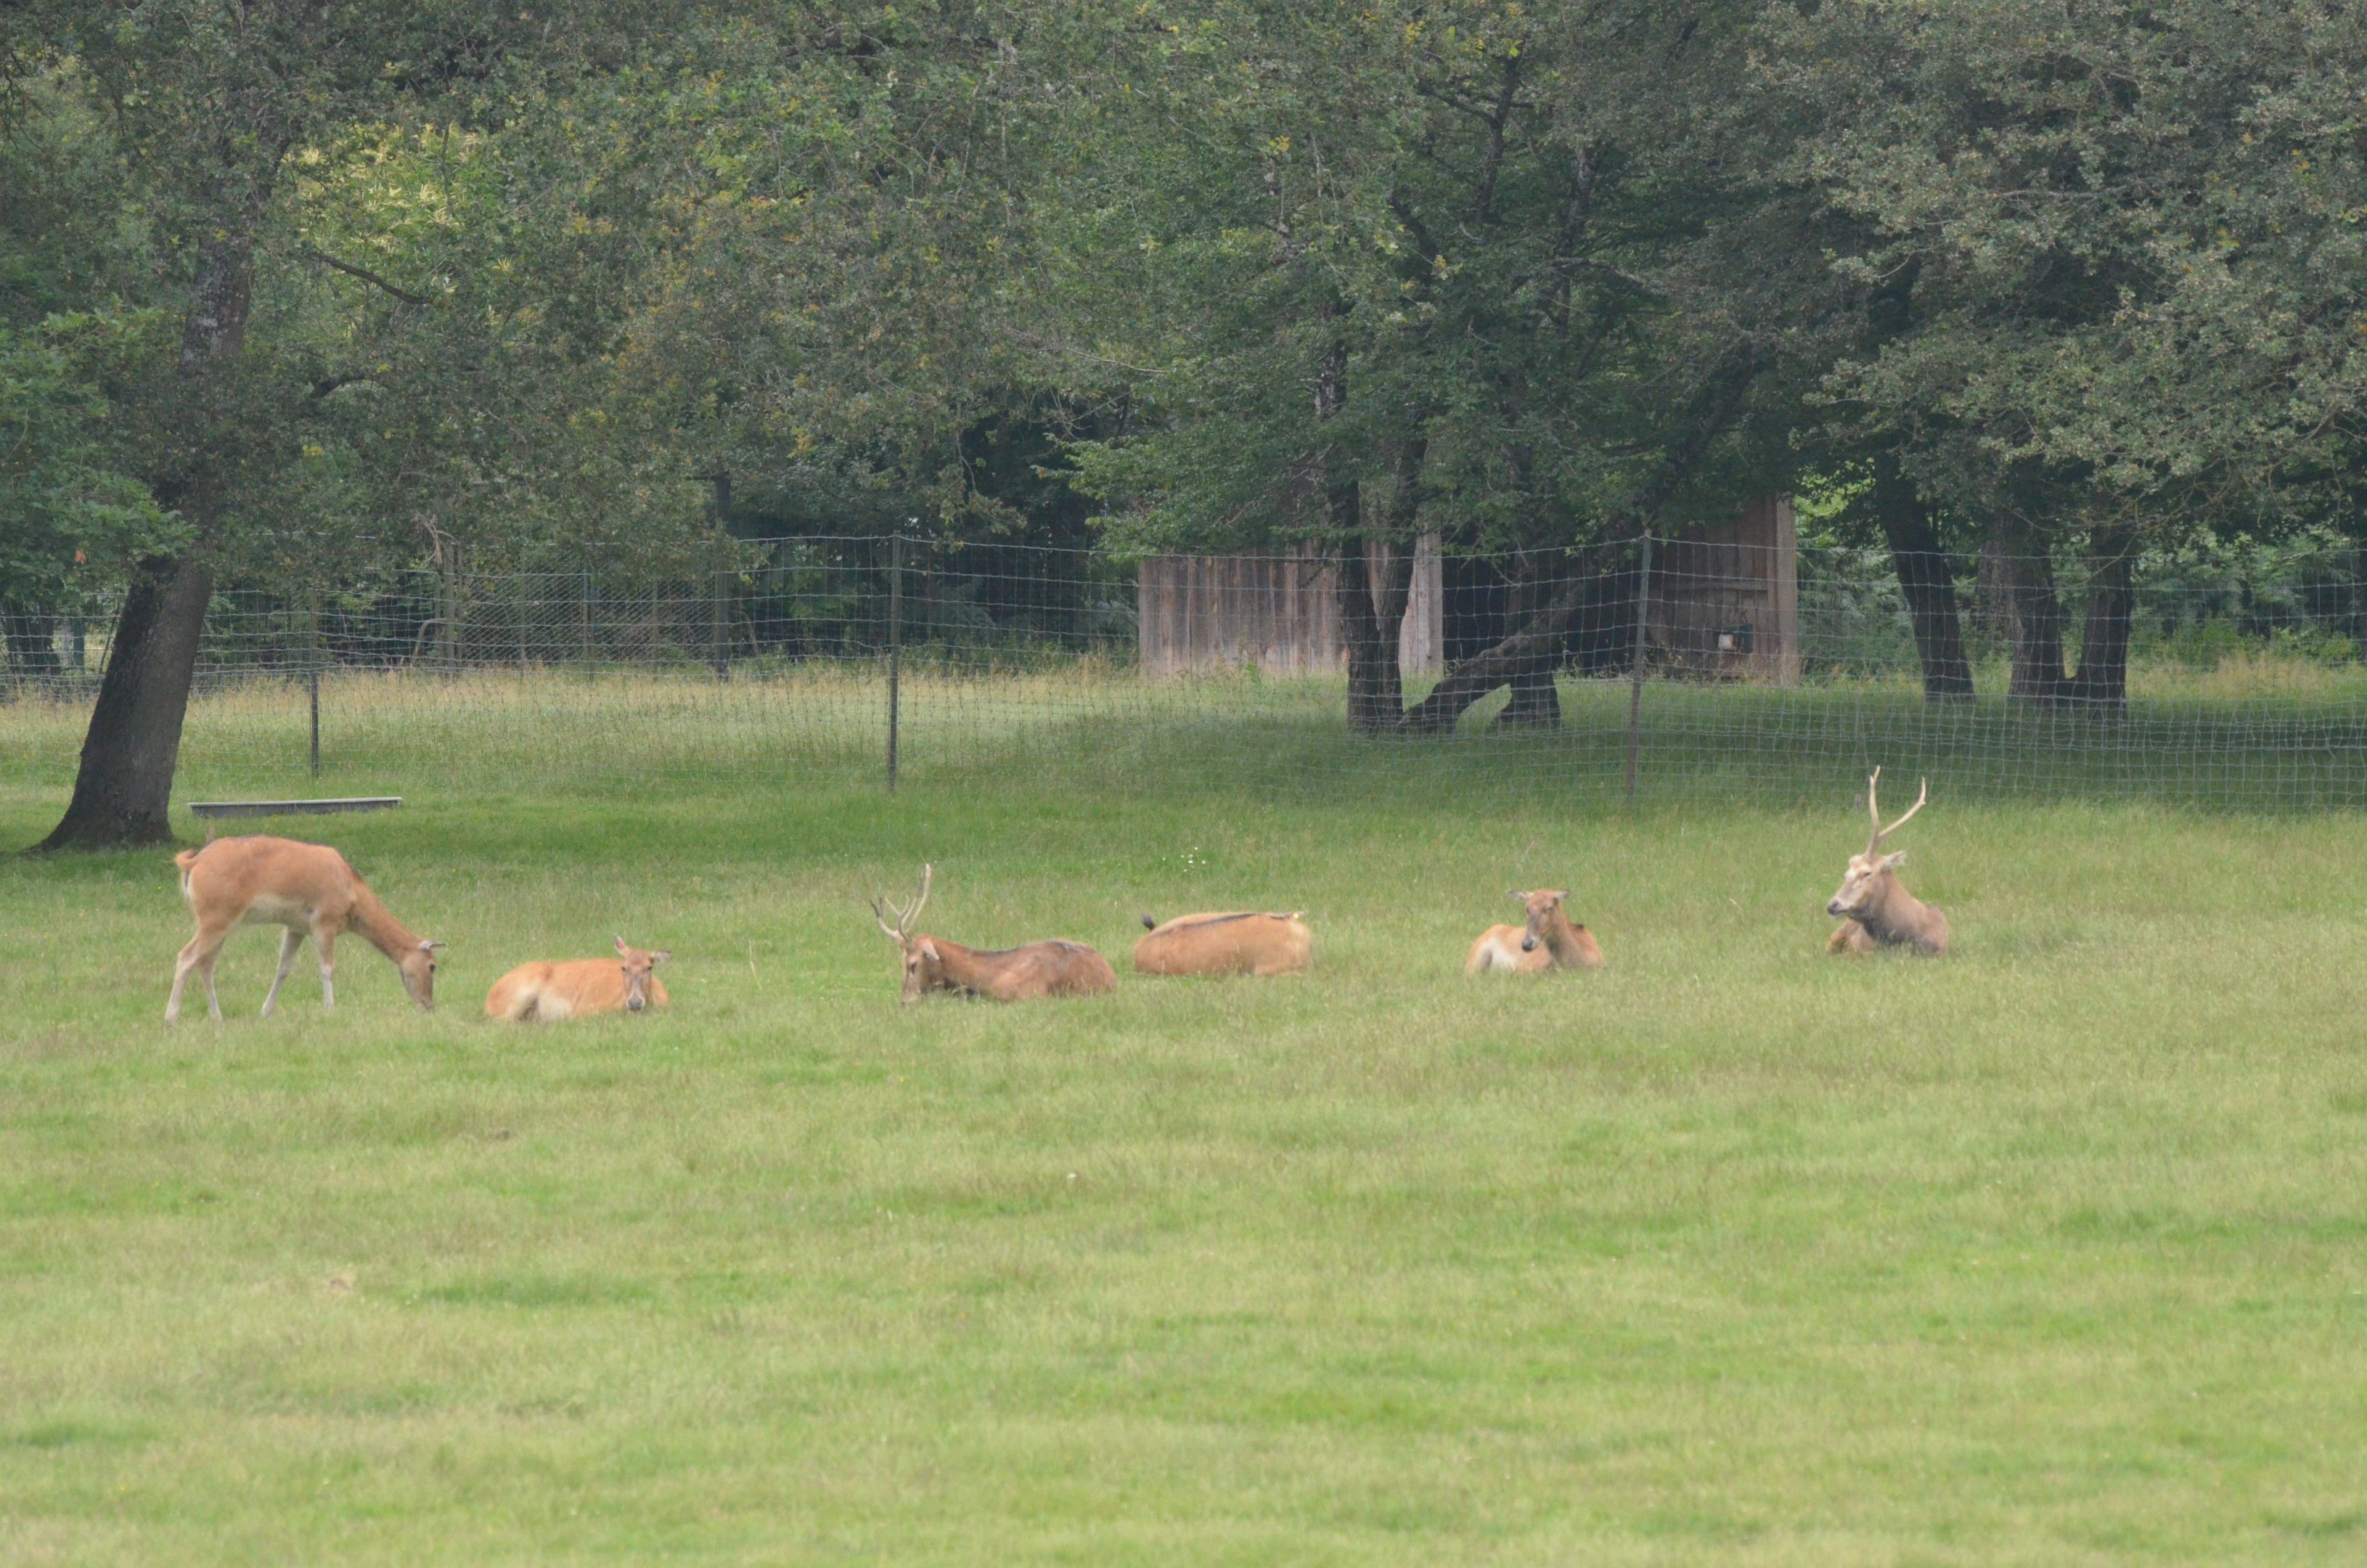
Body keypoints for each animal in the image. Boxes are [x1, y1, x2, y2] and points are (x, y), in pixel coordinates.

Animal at [166, 835, 443, 1024]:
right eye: (432, 966)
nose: (430, 1006)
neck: (353, 896)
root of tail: (192, 862)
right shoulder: (324, 921)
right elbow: (327, 968)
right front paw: (330, 1009)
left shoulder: (296, 926)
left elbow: (284, 967)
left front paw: (266, 1011)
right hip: (216, 917)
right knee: (187, 956)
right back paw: (171, 1018)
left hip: (221, 922)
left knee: (206, 963)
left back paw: (218, 1018)